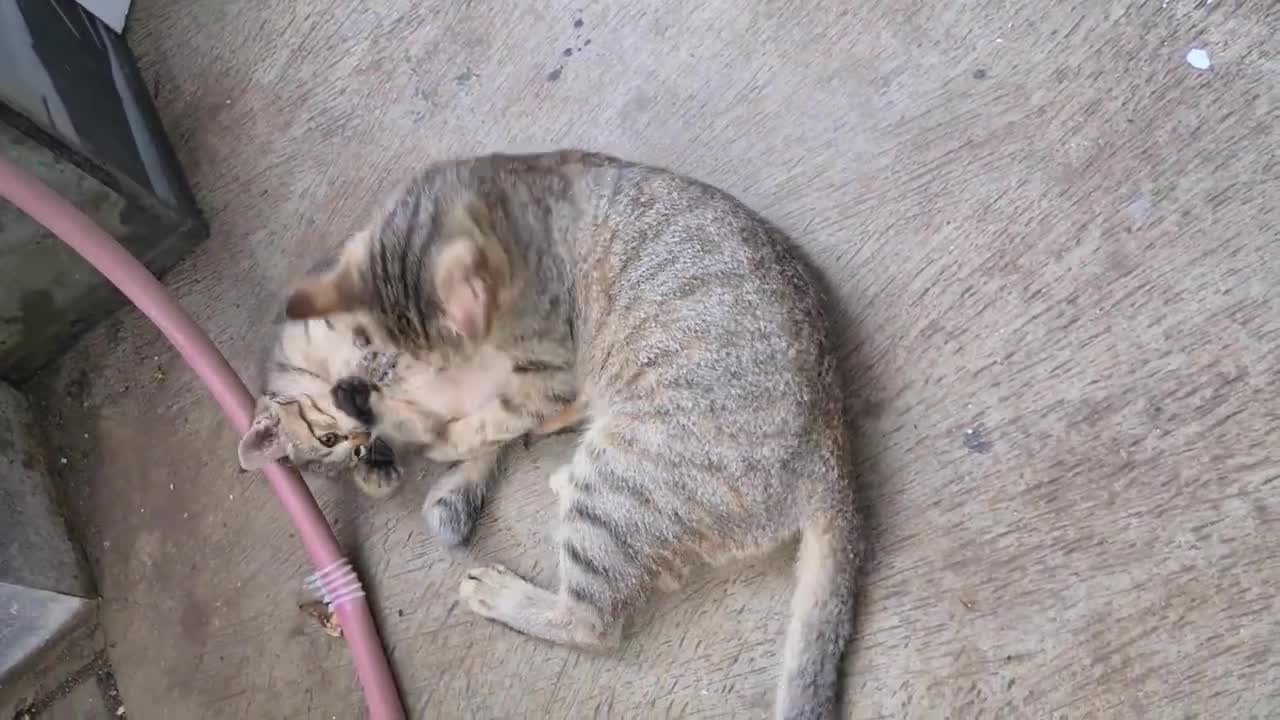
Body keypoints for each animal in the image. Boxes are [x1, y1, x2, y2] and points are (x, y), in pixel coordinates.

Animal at [284, 148, 860, 712]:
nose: (361, 391)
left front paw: (423, 432)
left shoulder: (543, 373)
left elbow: (486, 419)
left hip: (621, 486)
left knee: (591, 622)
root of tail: (832, 454)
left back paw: (505, 591)